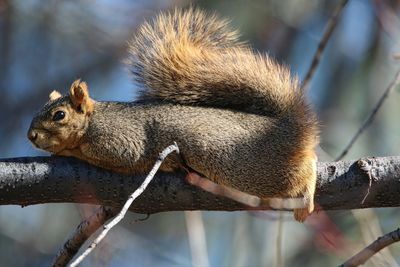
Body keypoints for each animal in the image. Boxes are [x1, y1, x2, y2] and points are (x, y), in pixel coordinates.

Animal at [26, 7, 318, 222]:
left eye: (59, 115)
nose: (31, 136)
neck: (94, 120)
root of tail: (287, 128)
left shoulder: (121, 139)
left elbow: (112, 154)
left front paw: (68, 150)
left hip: (243, 166)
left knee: (301, 171)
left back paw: (306, 193)